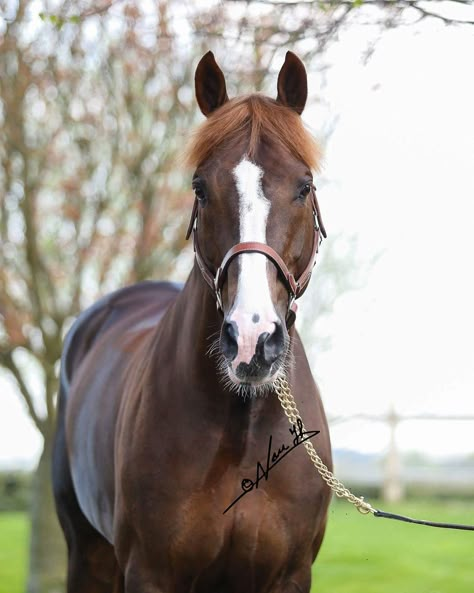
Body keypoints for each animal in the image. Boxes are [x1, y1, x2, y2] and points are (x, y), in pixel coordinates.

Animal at [51, 52, 332, 592]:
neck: (243, 430)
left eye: (304, 186)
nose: (252, 341)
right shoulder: (150, 573)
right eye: (201, 188)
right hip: (87, 553)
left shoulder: (290, 575)